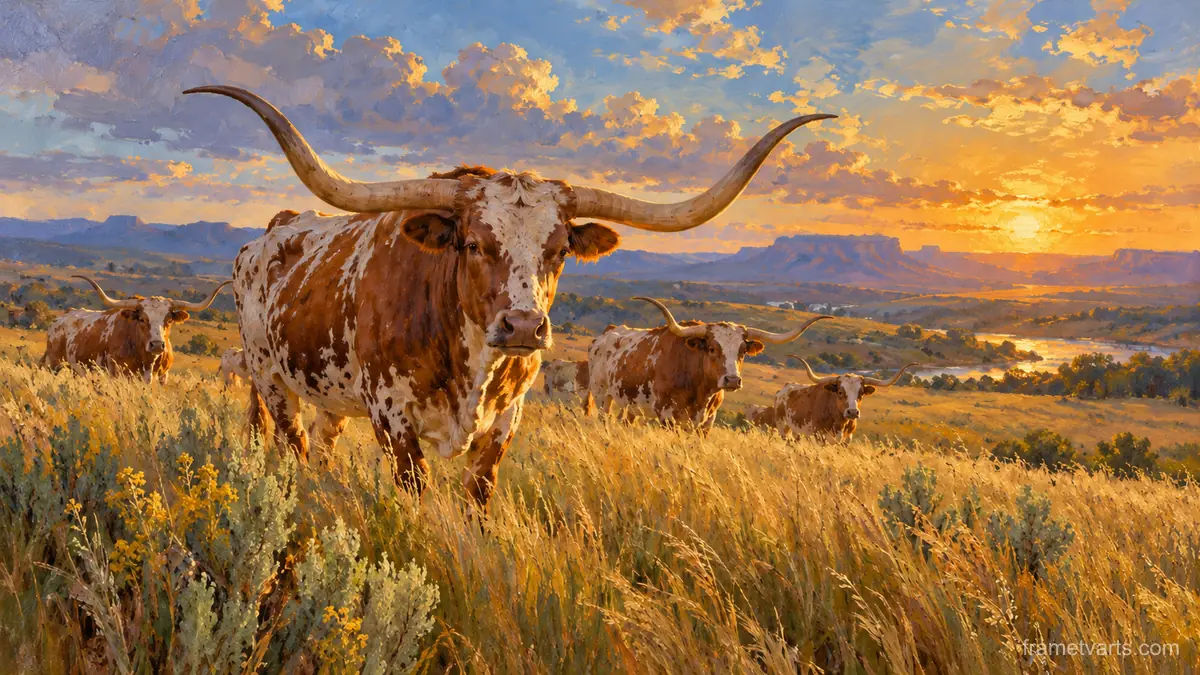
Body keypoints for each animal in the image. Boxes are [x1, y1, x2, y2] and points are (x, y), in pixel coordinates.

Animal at [41, 276, 230, 384]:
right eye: (141, 319)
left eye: (169, 320)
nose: (157, 345)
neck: (147, 361)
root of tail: (61, 318)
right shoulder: (119, 375)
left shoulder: (162, 377)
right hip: (55, 365)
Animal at [585, 297, 832, 434]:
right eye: (712, 348)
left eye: (743, 351)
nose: (732, 380)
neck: (699, 389)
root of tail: (608, 332)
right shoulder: (667, 416)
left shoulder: (707, 421)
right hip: (601, 395)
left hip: (631, 405)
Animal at [770, 357, 919, 443]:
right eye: (840, 392)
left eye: (861, 393)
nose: (852, 412)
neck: (840, 422)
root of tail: (786, 387)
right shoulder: (819, 437)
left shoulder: (847, 440)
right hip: (784, 429)